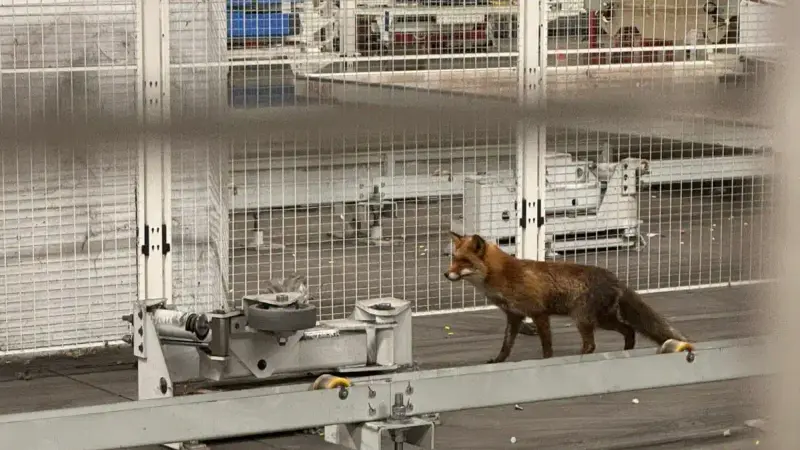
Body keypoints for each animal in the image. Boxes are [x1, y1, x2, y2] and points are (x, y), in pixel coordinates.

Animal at [444, 231, 694, 363]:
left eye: (464, 262)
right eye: (453, 259)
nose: (446, 274)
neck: (504, 275)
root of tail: (615, 278)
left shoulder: (539, 313)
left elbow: (546, 345)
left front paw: (548, 361)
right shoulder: (514, 317)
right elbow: (506, 346)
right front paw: (498, 362)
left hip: (583, 319)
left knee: (592, 344)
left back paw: (580, 357)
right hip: (602, 320)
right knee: (629, 330)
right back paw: (626, 351)